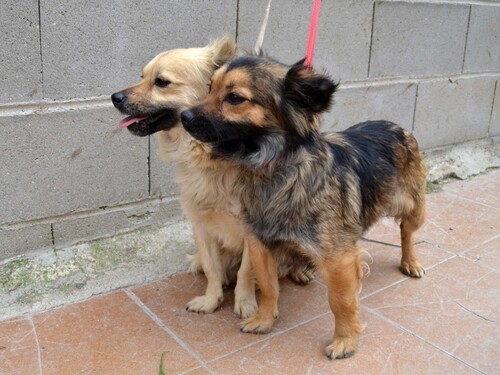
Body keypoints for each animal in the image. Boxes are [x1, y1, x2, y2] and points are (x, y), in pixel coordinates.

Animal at [112, 38, 312, 318]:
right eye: (142, 77)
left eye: (161, 82)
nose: (114, 97)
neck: (210, 160)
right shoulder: (200, 225)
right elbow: (212, 269)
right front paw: (211, 300)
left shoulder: (253, 231)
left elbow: (247, 271)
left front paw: (245, 303)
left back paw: (298, 271)